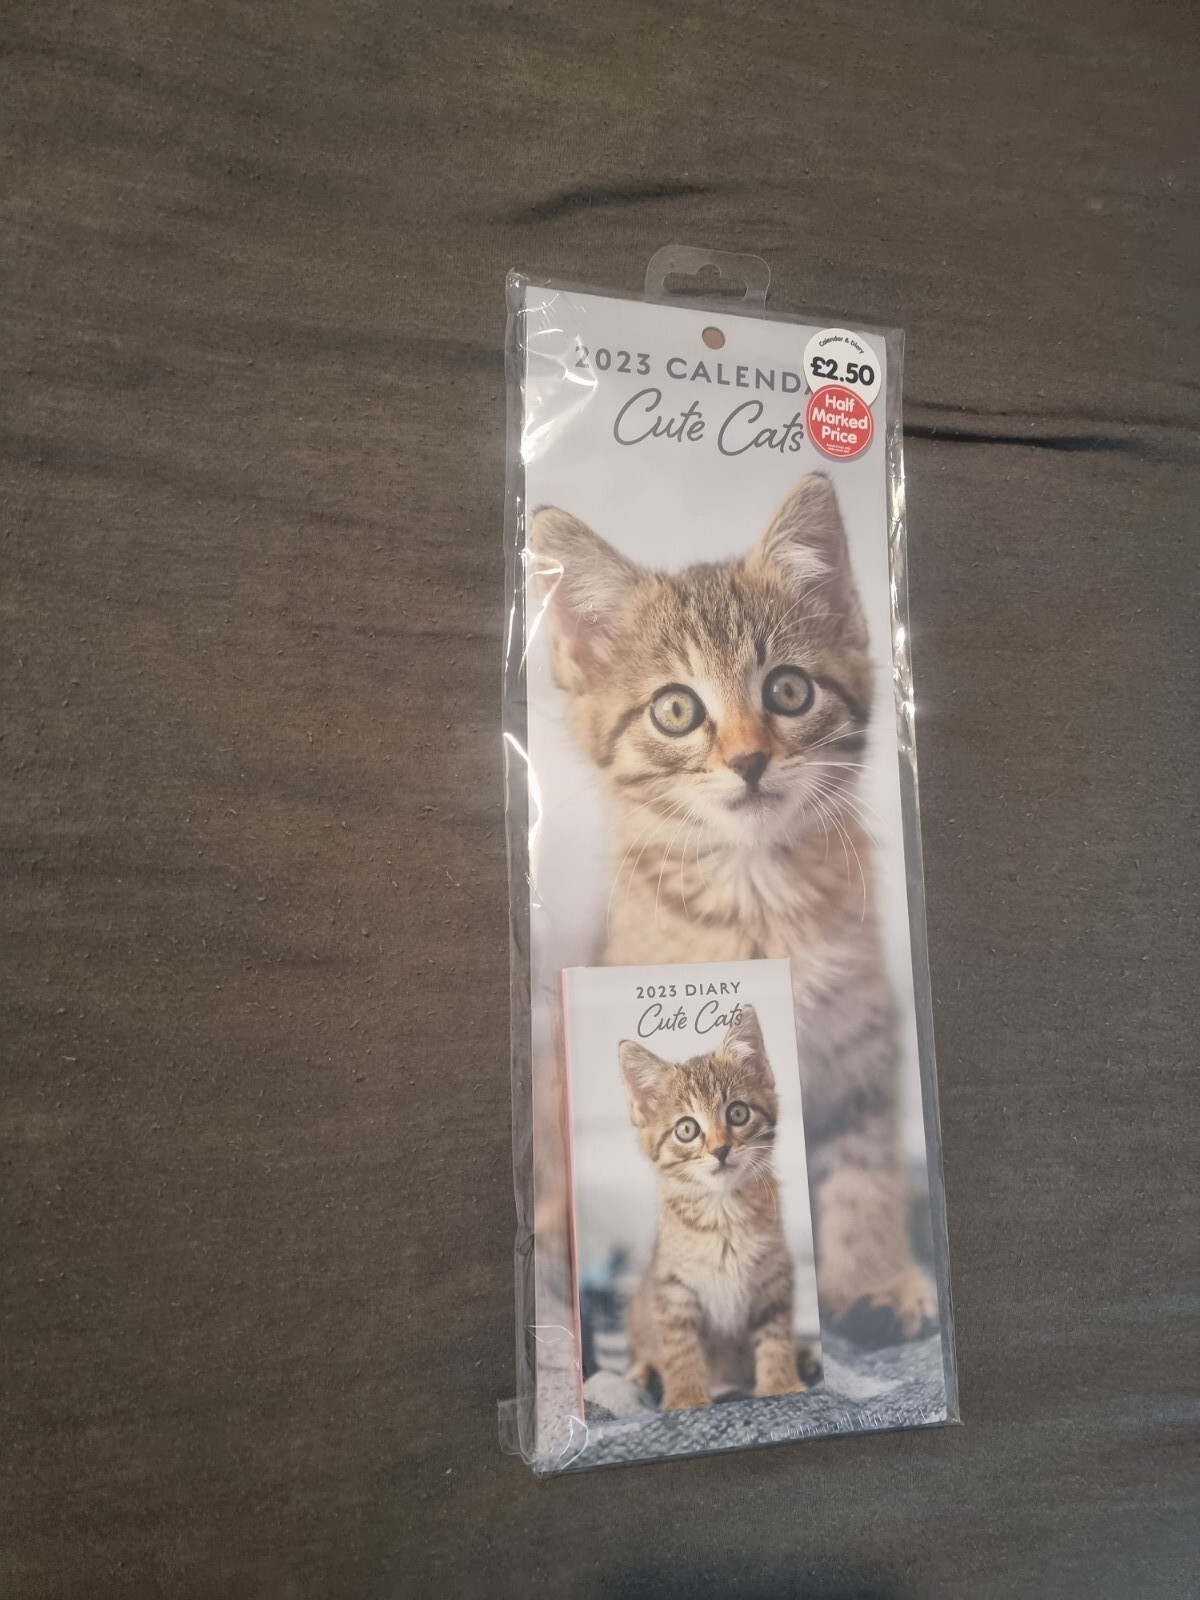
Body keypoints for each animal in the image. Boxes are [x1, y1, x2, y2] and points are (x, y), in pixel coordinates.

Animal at [532, 473, 936, 1347]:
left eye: (788, 689)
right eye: (676, 710)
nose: (750, 759)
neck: (757, 893)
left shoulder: (863, 1038)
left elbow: (862, 1169)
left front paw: (872, 1276)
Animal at [619, 1005, 804, 1410]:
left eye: (737, 1113)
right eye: (687, 1129)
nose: (720, 1149)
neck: (724, 1215)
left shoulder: (774, 1276)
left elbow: (776, 1335)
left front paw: (780, 1384)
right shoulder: (672, 1287)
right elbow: (680, 1346)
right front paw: (687, 1397)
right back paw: (642, 1372)